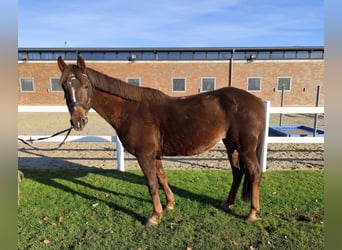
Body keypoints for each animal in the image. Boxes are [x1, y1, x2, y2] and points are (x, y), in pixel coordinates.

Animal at [57, 55, 266, 227]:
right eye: (64, 87)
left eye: (86, 86)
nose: (78, 121)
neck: (131, 110)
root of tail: (257, 101)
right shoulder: (155, 155)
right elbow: (162, 177)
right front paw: (169, 205)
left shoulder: (145, 155)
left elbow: (151, 184)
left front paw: (154, 216)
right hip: (231, 145)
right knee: (237, 172)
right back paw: (228, 203)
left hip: (245, 148)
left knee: (254, 173)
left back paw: (252, 213)